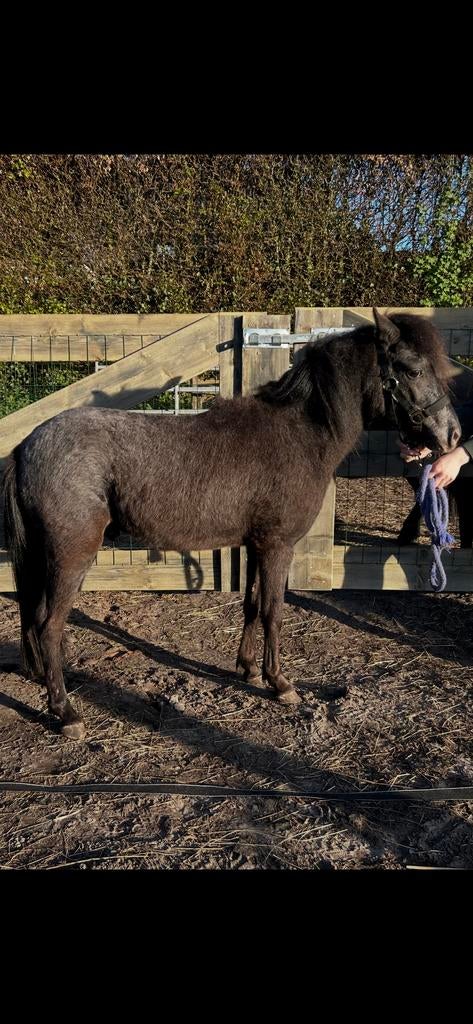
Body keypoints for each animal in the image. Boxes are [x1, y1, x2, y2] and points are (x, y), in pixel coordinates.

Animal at [3, 309, 461, 740]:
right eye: (413, 369)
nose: (452, 435)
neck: (299, 435)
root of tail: (26, 447)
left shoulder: (256, 544)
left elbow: (252, 605)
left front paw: (248, 669)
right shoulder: (277, 546)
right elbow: (274, 611)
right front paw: (280, 683)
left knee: (35, 619)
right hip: (71, 556)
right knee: (48, 627)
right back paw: (66, 713)